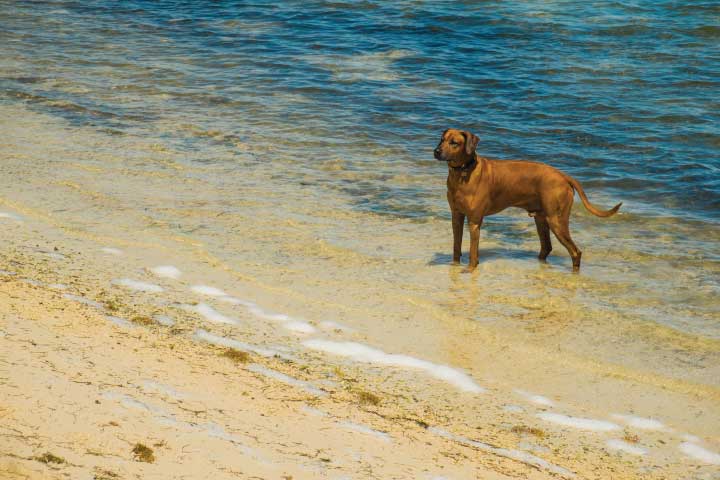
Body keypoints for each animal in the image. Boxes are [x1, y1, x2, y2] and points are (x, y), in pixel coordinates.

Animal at [436, 127, 620, 270]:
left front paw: (470, 269)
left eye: (454, 142)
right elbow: (456, 245)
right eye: (442, 139)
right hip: (541, 219)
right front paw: (454, 265)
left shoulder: (474, 221)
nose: (436, 151)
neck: (462, 172)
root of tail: (563, 175)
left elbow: (473, 252)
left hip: (556, 220)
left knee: (575, 252)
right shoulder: (456, 216)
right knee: (547, 247)